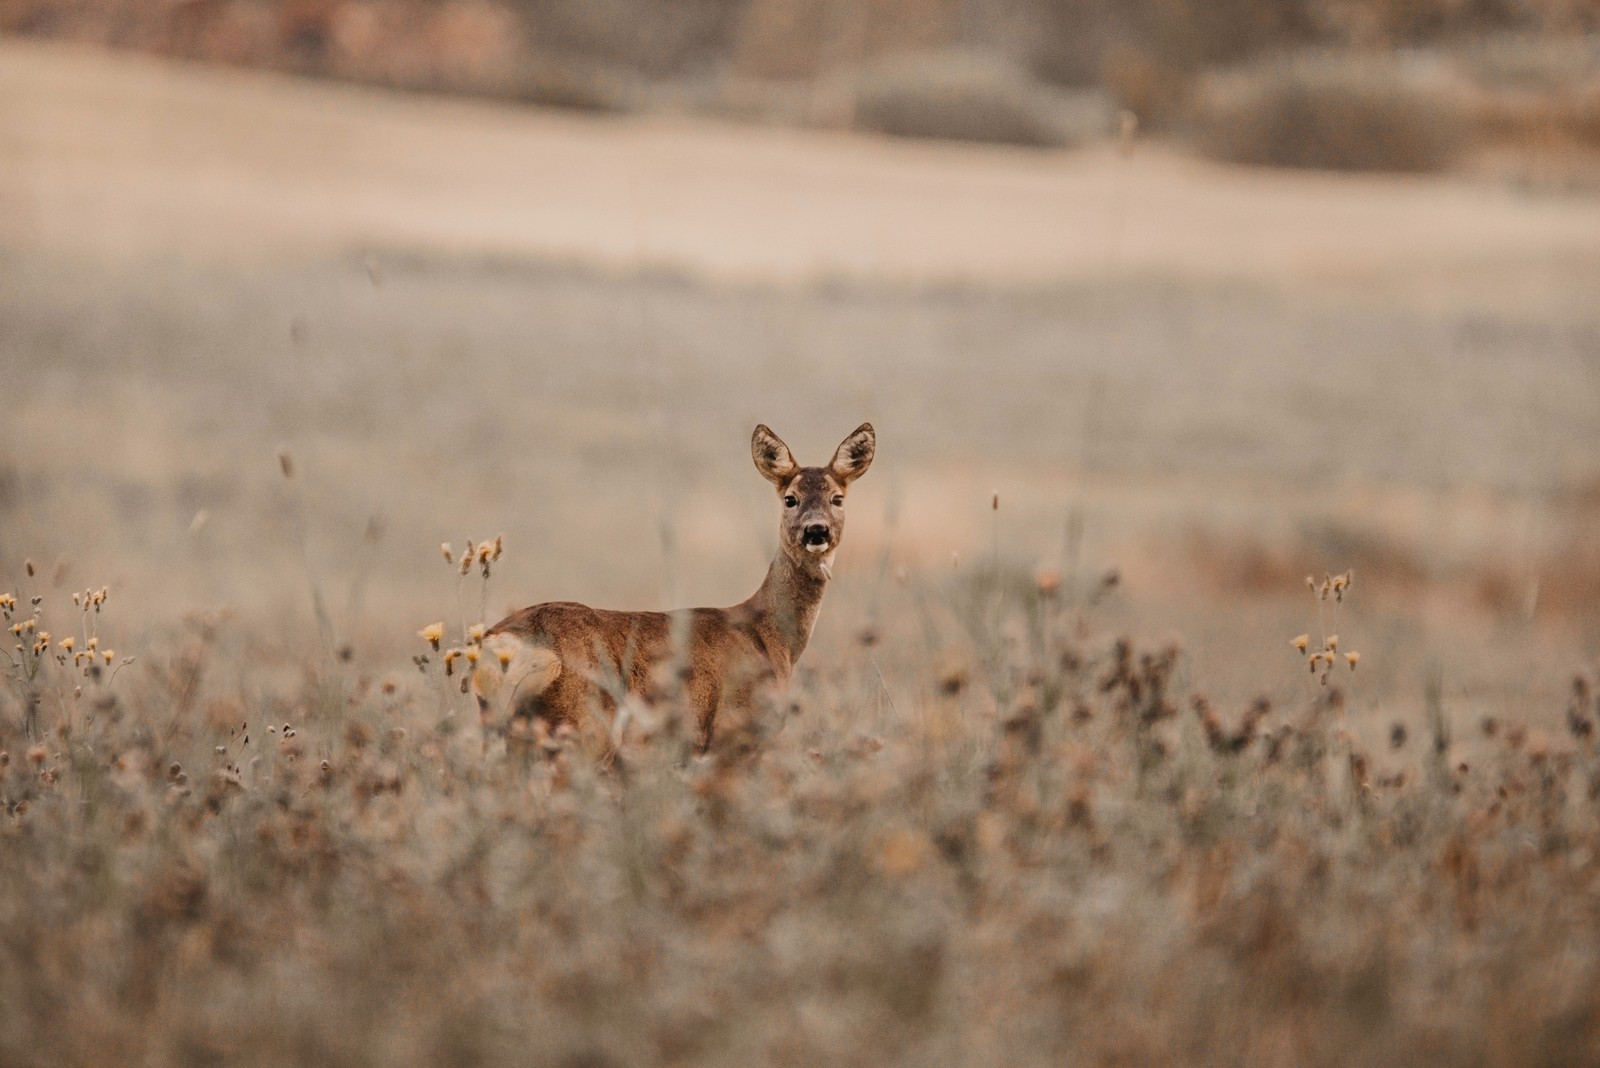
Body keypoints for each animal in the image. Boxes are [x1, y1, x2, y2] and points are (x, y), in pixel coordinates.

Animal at [473, 422, 876, 754]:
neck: (771, 636)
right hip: (580, 727)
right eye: (790, 498)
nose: (816, 530)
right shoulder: (733, 734)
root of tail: (501, 643)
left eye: (837, 498)